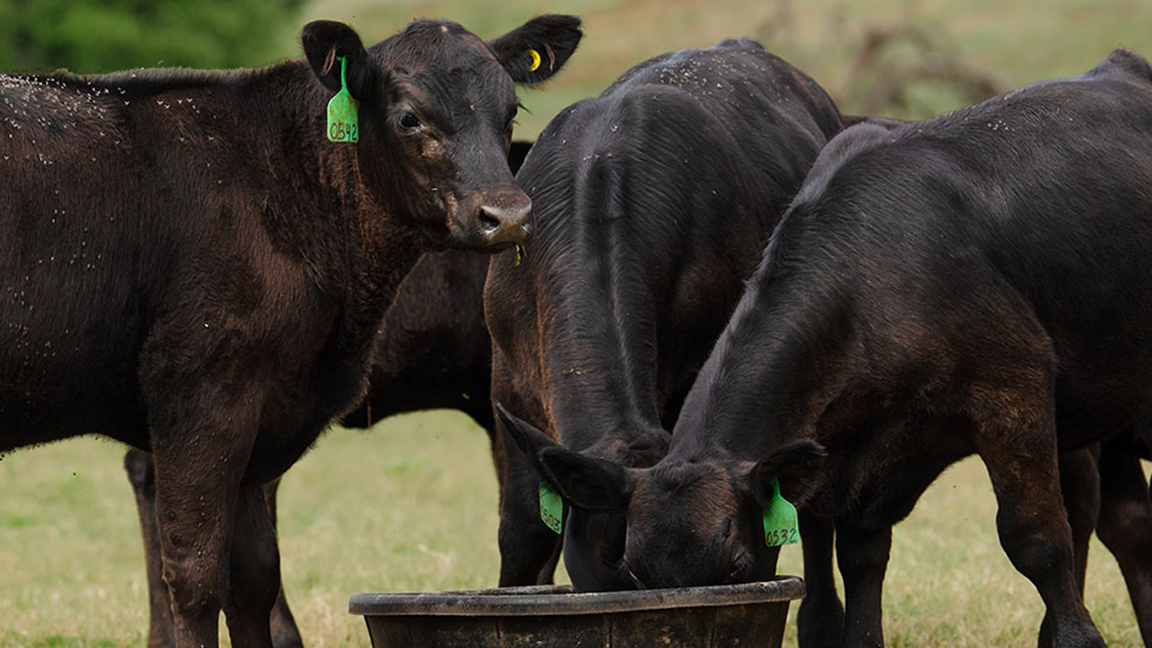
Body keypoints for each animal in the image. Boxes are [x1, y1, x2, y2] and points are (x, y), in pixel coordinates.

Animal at [0, 13, 576, 641]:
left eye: (511, 111)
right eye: (408, 117)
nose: (508, 215)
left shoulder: (265, 409)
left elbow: (253, 576)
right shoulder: (203, 392)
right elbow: (197, 576)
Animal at [532, 46, 1152, 645]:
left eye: (737, 568)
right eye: (635, 573)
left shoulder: (1011, 389)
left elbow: (1037, 537)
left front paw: (1077, 638)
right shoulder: (867, 459)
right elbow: (860, 554)